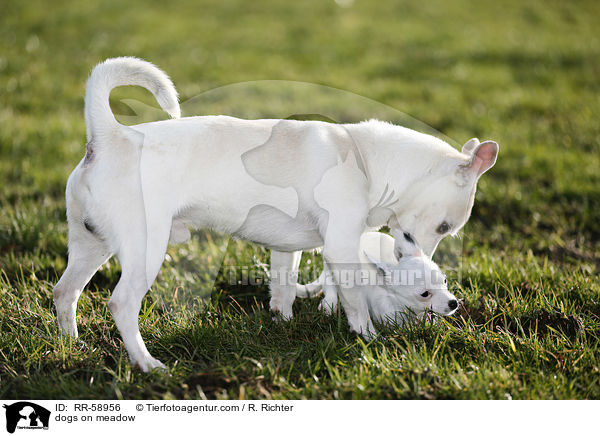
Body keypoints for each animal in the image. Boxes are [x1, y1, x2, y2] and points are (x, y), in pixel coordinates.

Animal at [296, 233, 460, 326]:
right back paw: (329, 304)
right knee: (330, 287)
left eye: (445, 281)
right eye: (425, 294)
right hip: (333, 272)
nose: (454, 303)